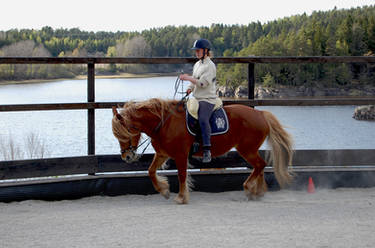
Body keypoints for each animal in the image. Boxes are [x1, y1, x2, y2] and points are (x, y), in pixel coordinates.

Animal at [111, 98, 294, 204]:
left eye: (126, 132)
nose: (127, 156)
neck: (164, 123)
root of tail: (261, 114)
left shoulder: (180, 155)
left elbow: (182, 175)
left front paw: (181, 197)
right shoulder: (163, 154)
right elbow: (150, 171)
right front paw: (164, 190)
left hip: (247, 149)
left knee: (260, 165)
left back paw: (250, 188)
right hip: (250, 150)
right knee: (260, 166)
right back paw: (258, 192)